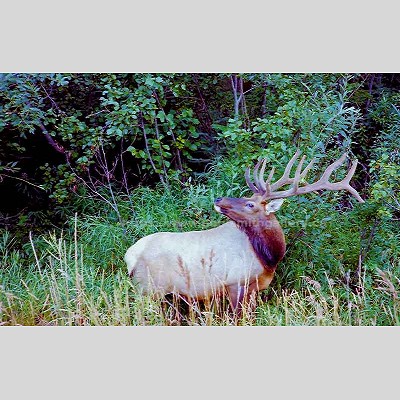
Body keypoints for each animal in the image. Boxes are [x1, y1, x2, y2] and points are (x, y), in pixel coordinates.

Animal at [124, 152, 362, 310]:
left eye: (250, 203)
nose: (218, 199)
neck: (268, 257)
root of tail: (130, 257)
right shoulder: (235, 283)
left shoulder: (254, 289)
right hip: (149, 288)